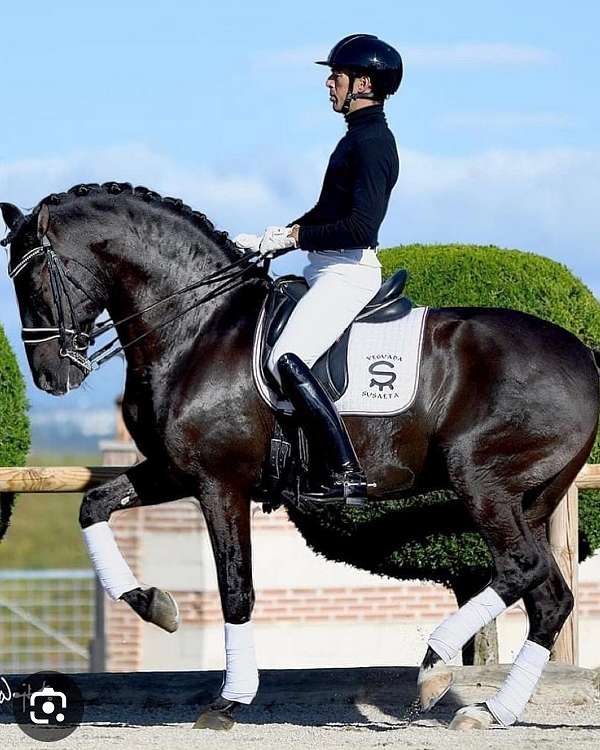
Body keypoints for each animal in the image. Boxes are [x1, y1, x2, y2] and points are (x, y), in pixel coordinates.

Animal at [1, 182, 599, 732]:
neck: (199, 328)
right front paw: (154, 604)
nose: (51, 378)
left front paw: (231, 700)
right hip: (529, 499)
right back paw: (491, 710)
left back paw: (436, 665)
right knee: (550, 597)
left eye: (32, 281)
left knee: (521, 568)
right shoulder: (175, 472)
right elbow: (93, 506)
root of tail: (584, 356)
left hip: (480, 480)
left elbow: (235, 587)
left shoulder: (220, 483)